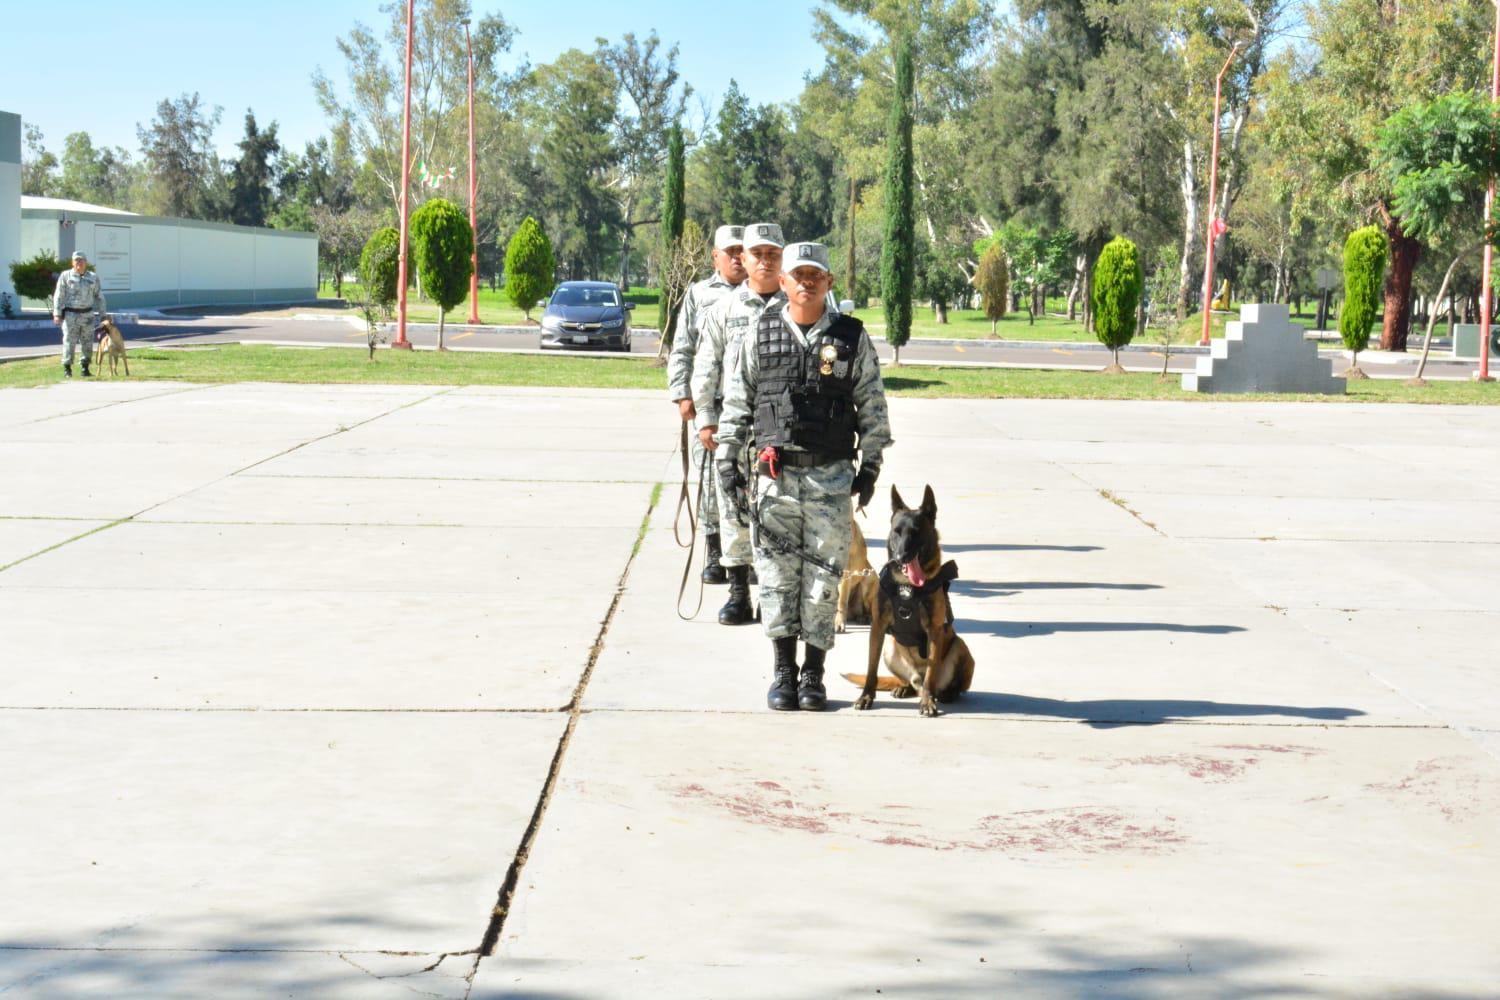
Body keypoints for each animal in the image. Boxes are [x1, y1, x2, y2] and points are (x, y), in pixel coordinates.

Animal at [852, 485, 978, 716]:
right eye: (897, 531)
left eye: (916, 532)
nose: (902, 557)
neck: (906, 587)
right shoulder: (878, 627)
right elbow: (871, 670)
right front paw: (866, 697)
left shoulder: (934, 631)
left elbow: (931, 672)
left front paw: (928, 703)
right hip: (890, 649)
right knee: (911, 681)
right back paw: (905, 688)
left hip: (960, 647)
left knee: (938, 682)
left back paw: (944, 694)